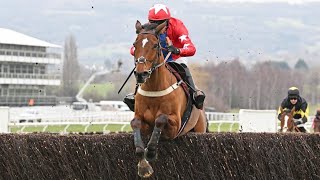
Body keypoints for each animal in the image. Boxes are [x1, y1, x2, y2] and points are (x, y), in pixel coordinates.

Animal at [131, 20, 208, 178]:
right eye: (135, 44)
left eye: (155, 45)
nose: (141, 74)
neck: (154, 88)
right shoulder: (141, 119)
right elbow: (135, 123)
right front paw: (143, 166)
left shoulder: (175, 126)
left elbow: (161, 119)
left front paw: (151, 152)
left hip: (199, 129)